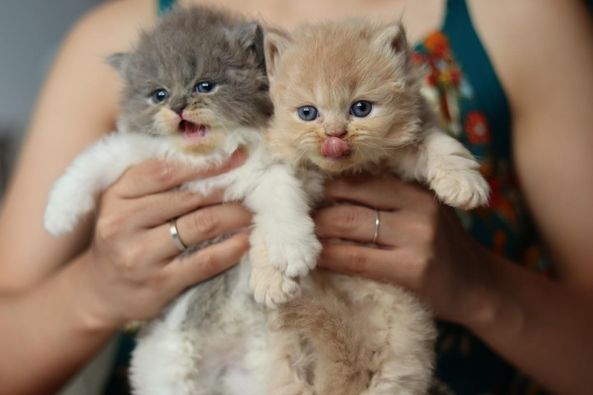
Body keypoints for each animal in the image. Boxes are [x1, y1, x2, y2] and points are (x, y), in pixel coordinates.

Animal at [260, 20, 490, 395]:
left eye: (361, 108)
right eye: (308, 113)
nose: (335, 135)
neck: (349, 170)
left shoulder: (414, 141)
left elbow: (442, 146)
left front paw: (464, 184)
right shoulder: (288, 171)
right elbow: (274, 208)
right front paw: (273, 275)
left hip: (401, 362)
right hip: (289, 357)